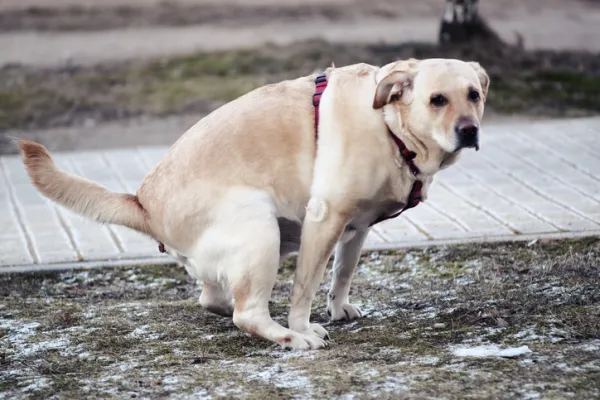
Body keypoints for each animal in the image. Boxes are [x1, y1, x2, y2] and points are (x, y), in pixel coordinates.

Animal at [18, 57, 490, 350]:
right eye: (437, 99)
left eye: (474, 94)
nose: (469, 130)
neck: (389, 125)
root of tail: (145, 203)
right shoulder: (325, 219)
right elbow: (305, 288)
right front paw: (305, 325)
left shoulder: (356, 228)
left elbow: (342, 273)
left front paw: (339, 308)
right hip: (261, 226)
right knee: (246, 315)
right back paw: (289, 337)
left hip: (264, 240)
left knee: (214, 297)